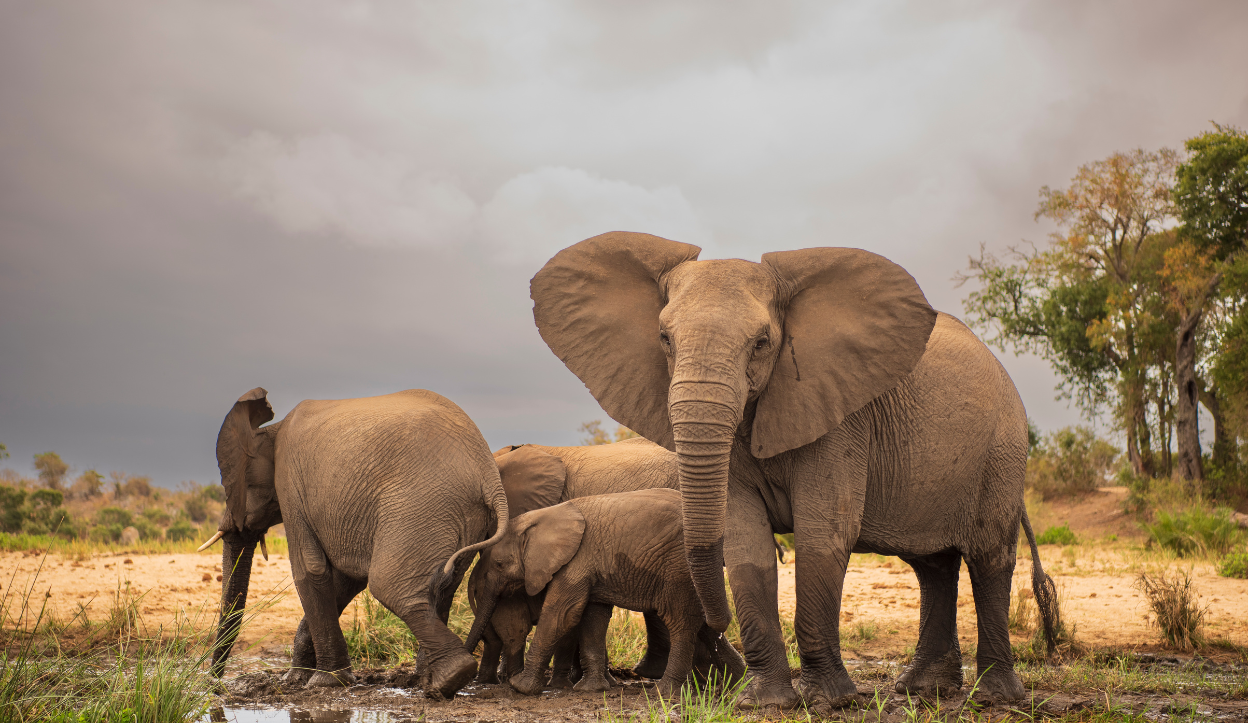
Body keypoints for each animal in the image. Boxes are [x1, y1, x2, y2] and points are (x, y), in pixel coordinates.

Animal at [200, 387, 508, 699]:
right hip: (461, 515)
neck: (270, 429)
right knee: (443, 586)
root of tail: (489, 476)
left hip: (420, 505)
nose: (213, 684)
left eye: (230, 486)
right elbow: (345, 579)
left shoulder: (290, 486)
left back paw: (450, 678)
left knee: (390, 586)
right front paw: (297, 679)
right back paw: (427, 681)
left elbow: (309, 570)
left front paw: (324, 682)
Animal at [468, 439, 741, 687]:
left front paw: (520, 685)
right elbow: (589, 615)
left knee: (681, 617)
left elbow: (562, 614)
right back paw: (728, 680)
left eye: (500, 564)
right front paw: (590, 686)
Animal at [529, 232, 1060, 710]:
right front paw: (762, 702)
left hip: (1002, 450)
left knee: (988, 558)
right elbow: (745, 541)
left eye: (762, 343)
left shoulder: (841, 418)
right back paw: (921, 691)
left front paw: (827, 702)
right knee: (933, 565)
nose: (715, 630)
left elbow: (824, 533)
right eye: (664, 339)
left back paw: (993, 697)